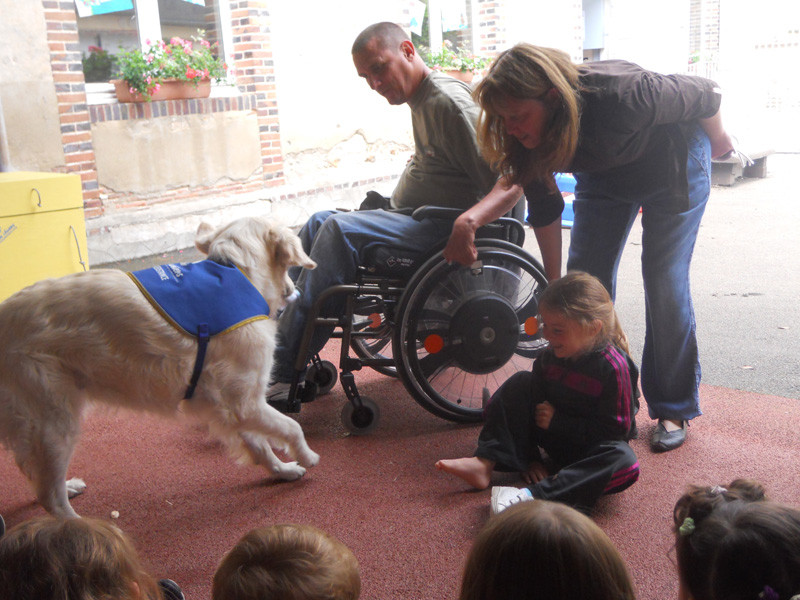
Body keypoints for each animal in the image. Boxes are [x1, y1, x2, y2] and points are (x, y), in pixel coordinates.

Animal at [0, 216, 318, 516]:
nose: (296, 290)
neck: (236, 271)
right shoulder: (245, 403)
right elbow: (291, 427)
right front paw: (307, 456)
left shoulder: (229, 406)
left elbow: (260, 445)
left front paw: (283, 471)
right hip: (53, 421)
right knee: (50, 498)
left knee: (37, 477)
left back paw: (67, 487)